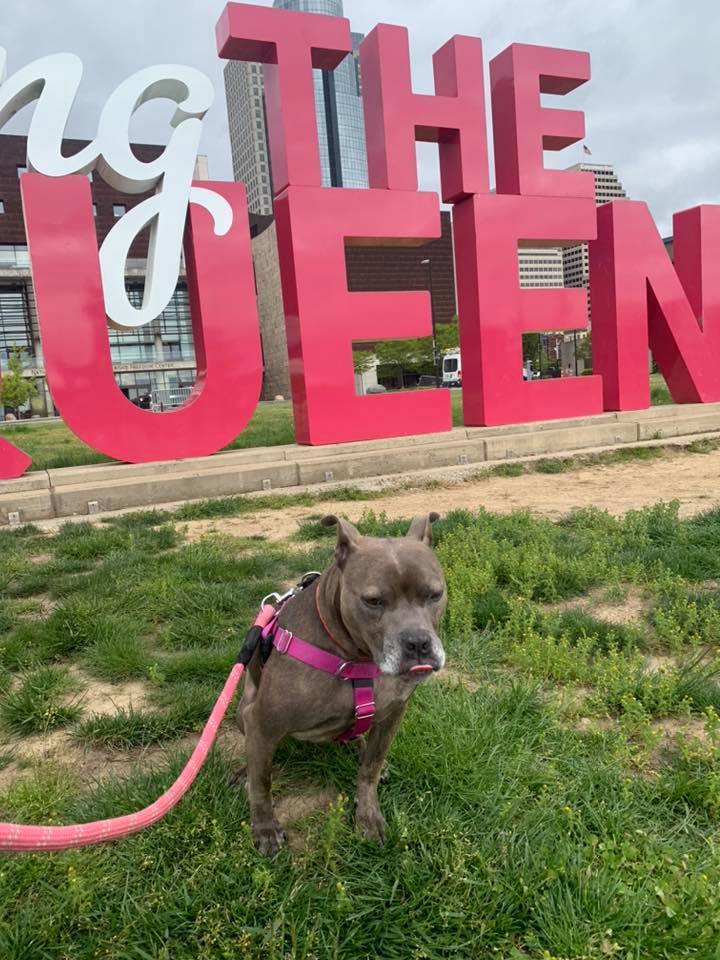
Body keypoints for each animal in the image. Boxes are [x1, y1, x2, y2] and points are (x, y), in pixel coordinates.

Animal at [232, 512, 444, 860]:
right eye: (373, 601)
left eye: (435, 594)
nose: (418, 644)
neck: (356, 657)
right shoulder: (262, 722)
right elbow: (262, 782)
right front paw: (264, 827)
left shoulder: (393, 713)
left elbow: (370, 768)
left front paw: (368, 815)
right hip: (243, 709)